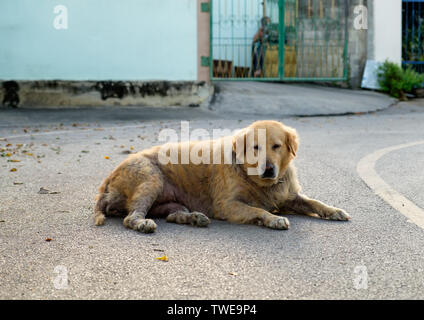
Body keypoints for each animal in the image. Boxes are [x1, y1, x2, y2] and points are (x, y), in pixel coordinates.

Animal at [94, 120, 350, 232]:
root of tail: (107, 179)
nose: (268, 169)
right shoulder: (227, 205)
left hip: (171, 201)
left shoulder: (289, 195)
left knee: (173, 215)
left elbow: (315, 202)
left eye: (276, 146)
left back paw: (194, 218)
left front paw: (334, 210)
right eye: (256, 147)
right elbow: (258, 210)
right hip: (151, 178)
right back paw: (143, 223)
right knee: (130, 218)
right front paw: (272, 219)